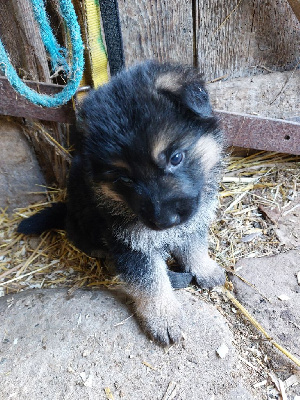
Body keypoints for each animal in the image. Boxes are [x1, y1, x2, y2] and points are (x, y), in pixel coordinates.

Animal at [18, 61, 225, 346]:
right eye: (124, 179)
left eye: (176, 158)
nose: (164, 222)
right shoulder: (129, 243)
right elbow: (149, 280)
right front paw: (164, 318)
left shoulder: (192, 220)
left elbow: (193, 245)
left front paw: (205, 269)